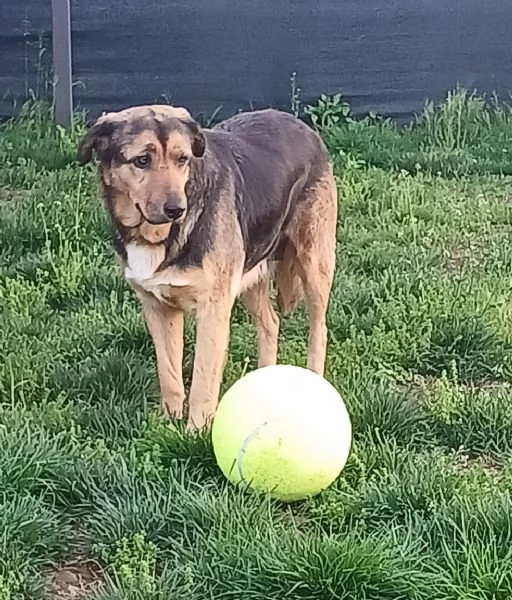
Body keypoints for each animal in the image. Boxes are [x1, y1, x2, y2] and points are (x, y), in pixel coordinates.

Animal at [77, 104, 336, 432]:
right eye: (142, 160)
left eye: (182, 159)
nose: (177, 209)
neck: (159, 237)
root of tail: (302, 126)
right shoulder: (158, 308)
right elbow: (169, 374)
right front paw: (168, 423)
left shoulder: (213, 308)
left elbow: (202, 377)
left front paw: (196, 431)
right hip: (249, 273)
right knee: (270, 322)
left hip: (314, 264)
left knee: (319, 329)